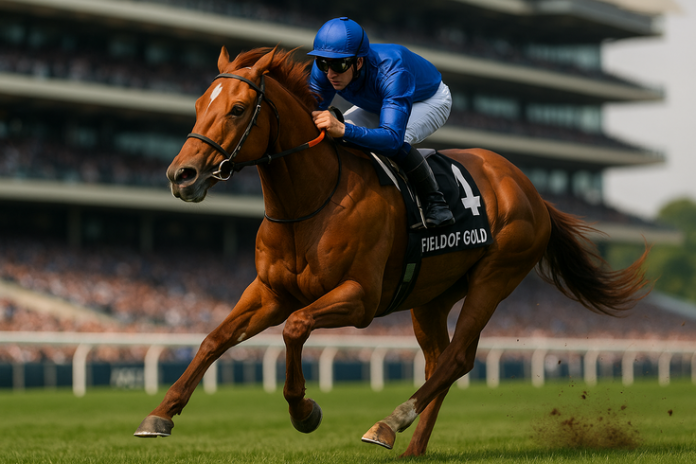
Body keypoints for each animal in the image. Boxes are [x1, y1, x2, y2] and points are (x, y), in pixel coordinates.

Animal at [134, 46, 649, 456]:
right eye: (199, 104)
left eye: (238, 109)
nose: (181, 175)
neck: (310, 202)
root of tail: (529, 188)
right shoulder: (269, 292)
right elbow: (214, 339)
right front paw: (160, 414)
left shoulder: (360, 298)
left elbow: (295, 328)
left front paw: (305, 411)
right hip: (431, 296)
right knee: (443, 360)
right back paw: (413, 448)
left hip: (495, 277)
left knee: (457, 358)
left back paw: (388, 424)